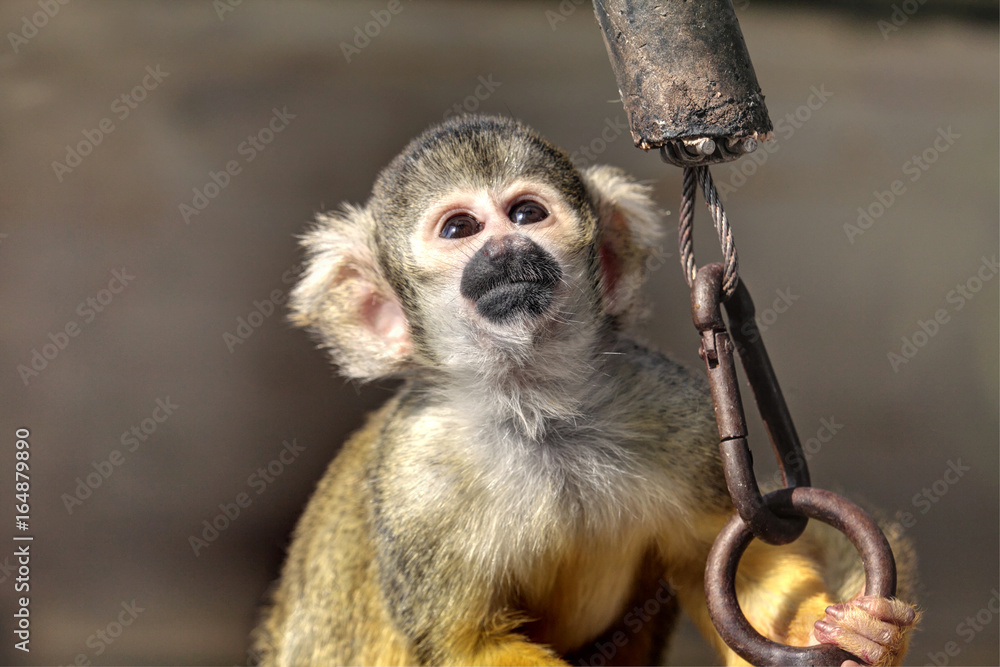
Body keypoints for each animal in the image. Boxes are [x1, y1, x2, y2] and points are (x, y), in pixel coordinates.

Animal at [254, 115, 918, 666]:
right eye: (459, 228)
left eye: (526, 214)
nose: (506, 250)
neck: (537, 414)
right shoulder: (416, 483)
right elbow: (466, 645)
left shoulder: (673, 410)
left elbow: (740, 570)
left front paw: (857, 632)